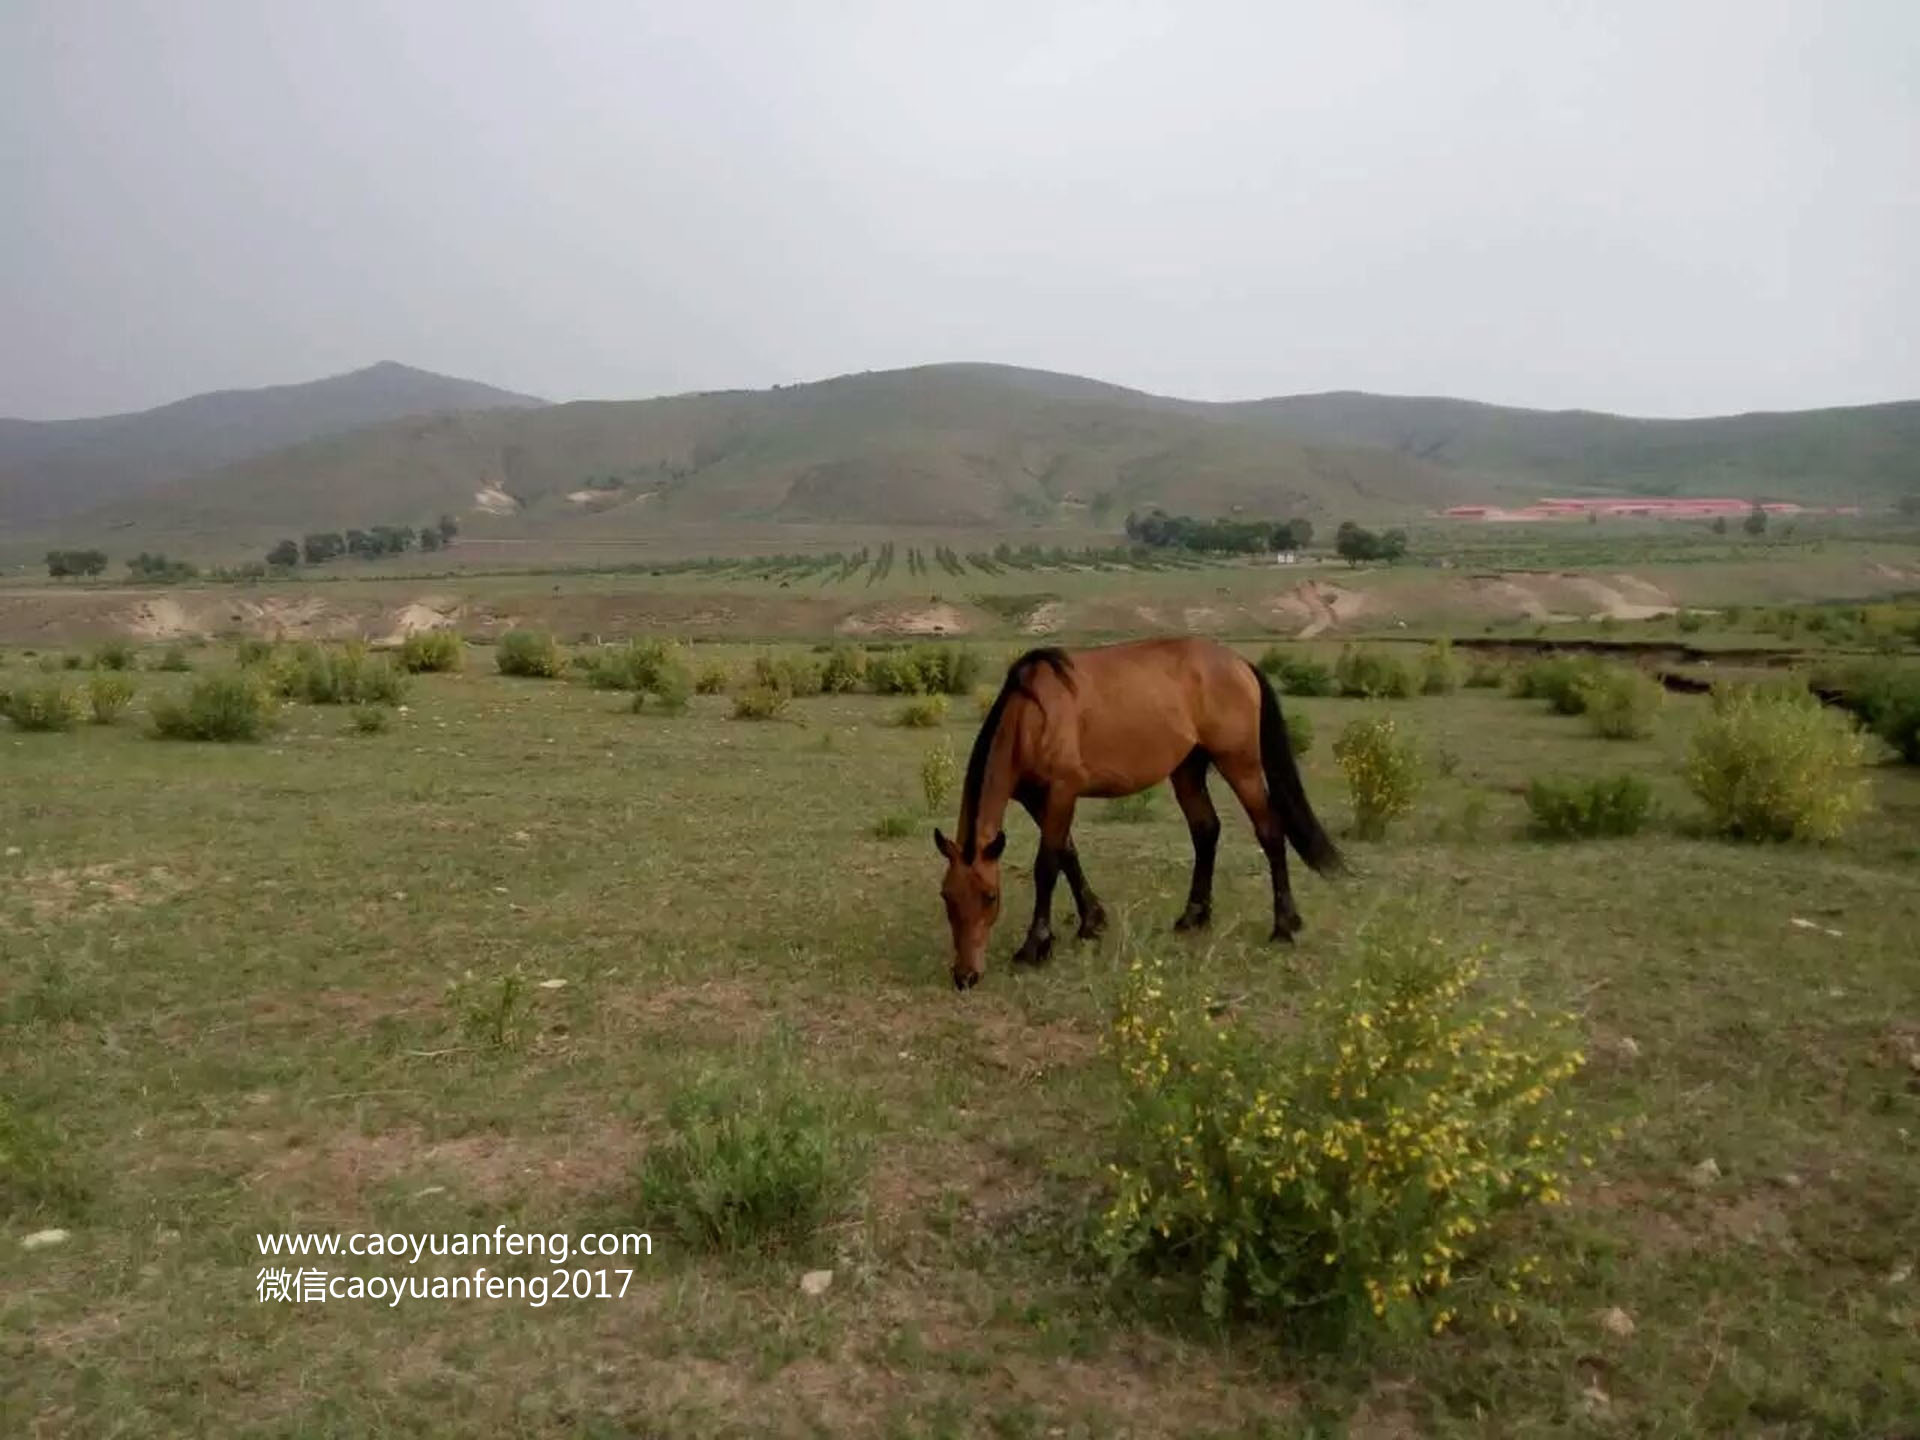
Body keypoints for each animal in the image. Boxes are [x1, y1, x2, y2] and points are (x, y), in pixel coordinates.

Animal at [936, 641, 1344, 990]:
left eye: (990, 897)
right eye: (946, 897)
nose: (965, 976)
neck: (1033, 716)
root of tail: (1240, 663)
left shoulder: (1061, 793)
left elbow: (1047, 865)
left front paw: (1035, 946)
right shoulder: (1036, 799)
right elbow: (1068, 854)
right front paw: (1092, 922)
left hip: (1239, 764)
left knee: (1270, 831)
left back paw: (1284, 926)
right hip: (1188, 768)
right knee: (1206, 830)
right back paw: (1193, 917)